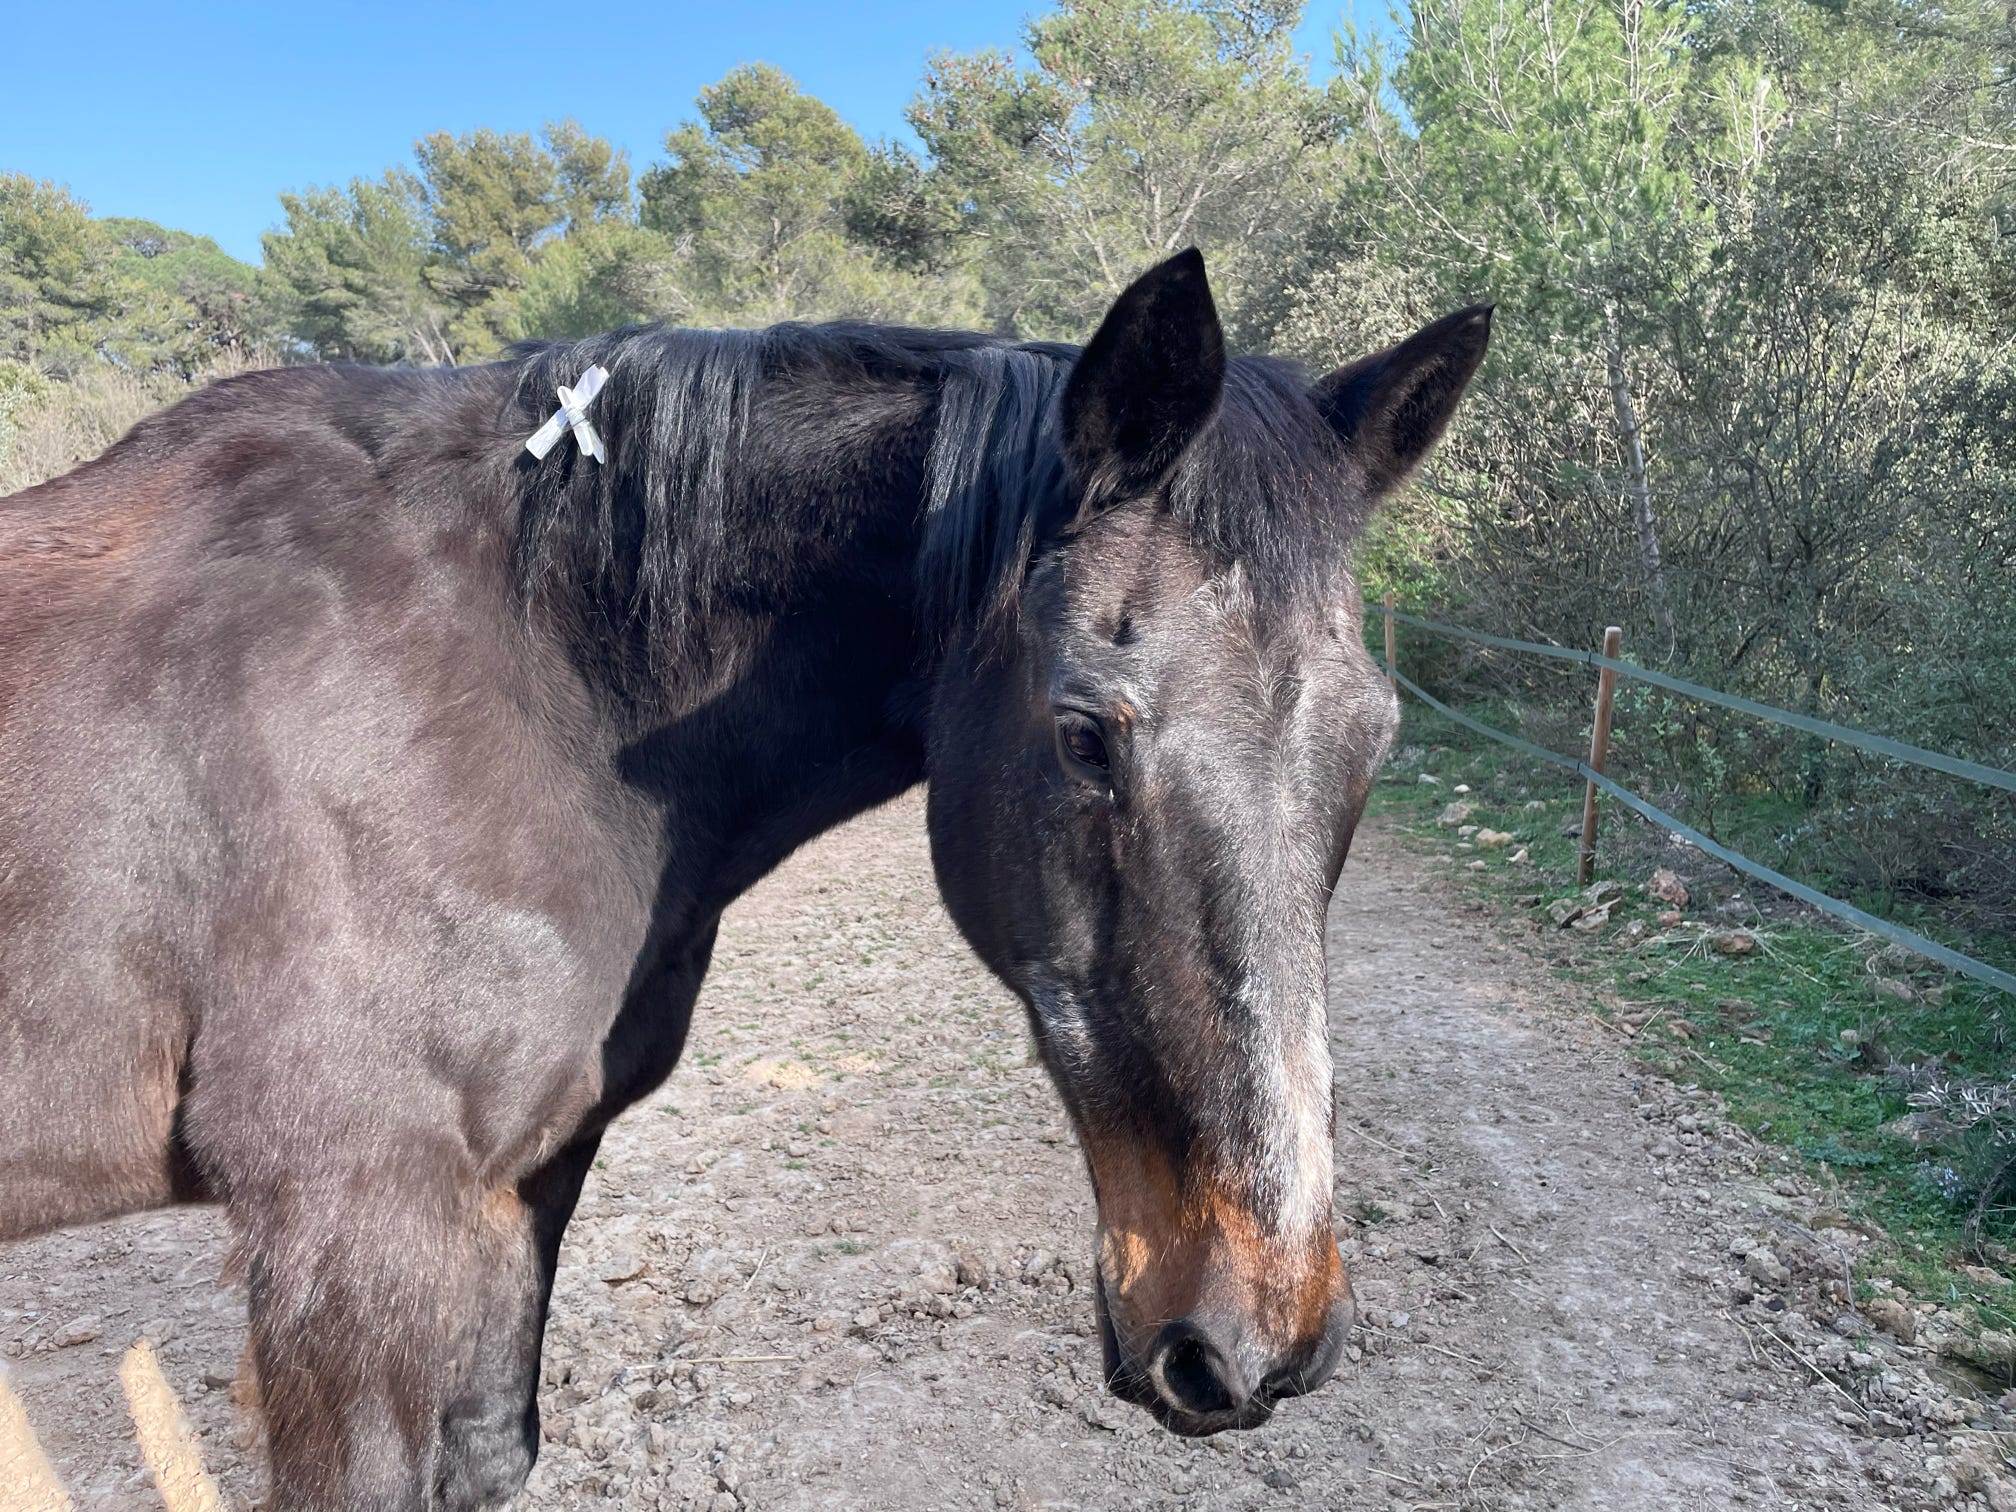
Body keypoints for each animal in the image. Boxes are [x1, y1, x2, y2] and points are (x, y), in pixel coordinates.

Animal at [0, 248, 1488, 1509]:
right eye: (1084, 734)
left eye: (1376, 739)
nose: (1259, 1331)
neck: (522, 680)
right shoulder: (349, 1228)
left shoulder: (517, 1191)